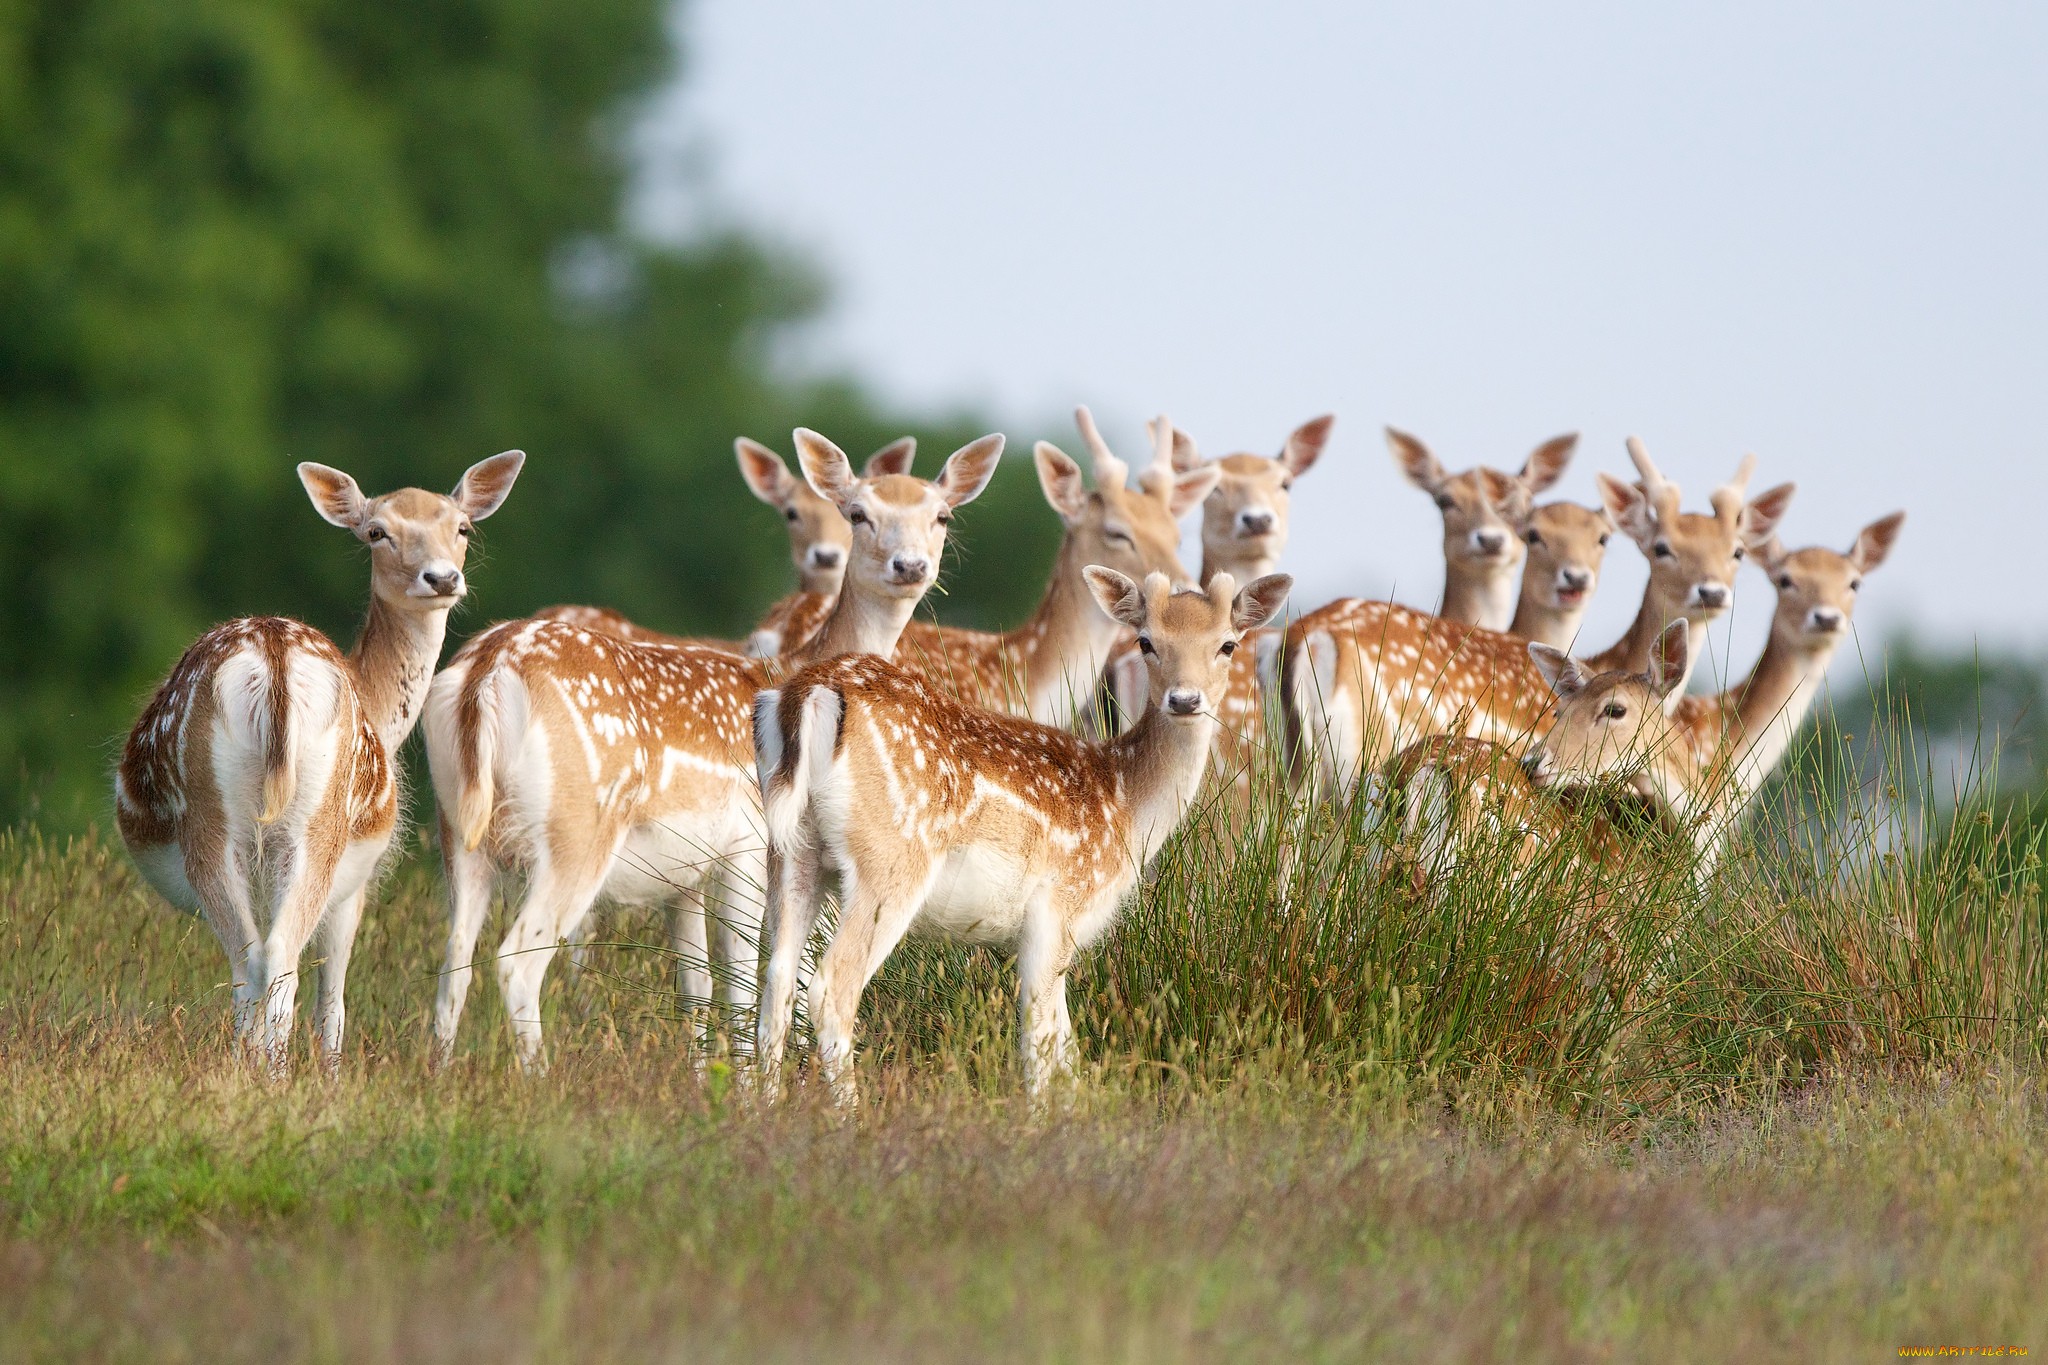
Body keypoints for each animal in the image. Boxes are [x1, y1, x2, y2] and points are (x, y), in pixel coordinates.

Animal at [112, 454, 528, 1072]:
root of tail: (274, 664)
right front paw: (331, 1074)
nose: (441, 579)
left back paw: (248, 1069)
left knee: (255, 958)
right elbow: (333, 999)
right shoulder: (357, 884)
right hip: (312, 826)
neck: (380, 709)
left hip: (232, 825)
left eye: (462, 528)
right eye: (377, 532)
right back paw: (271, 1072)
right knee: (271, 959)